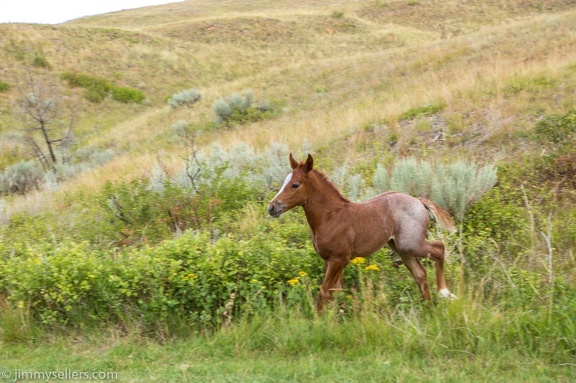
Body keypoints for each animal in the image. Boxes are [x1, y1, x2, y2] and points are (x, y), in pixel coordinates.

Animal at [268, 153, 456, 312]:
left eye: (295, 184)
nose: (272, 207)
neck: (330, 216)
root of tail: (418, 201)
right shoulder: (330, 261)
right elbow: (334, 292)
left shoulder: (338, 260)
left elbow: (324, 293)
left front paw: (319, 323)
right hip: (400, 248)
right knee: (420, 274)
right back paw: (429, 309)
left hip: (411, 244)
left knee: (439, 249)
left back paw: (444, 292)